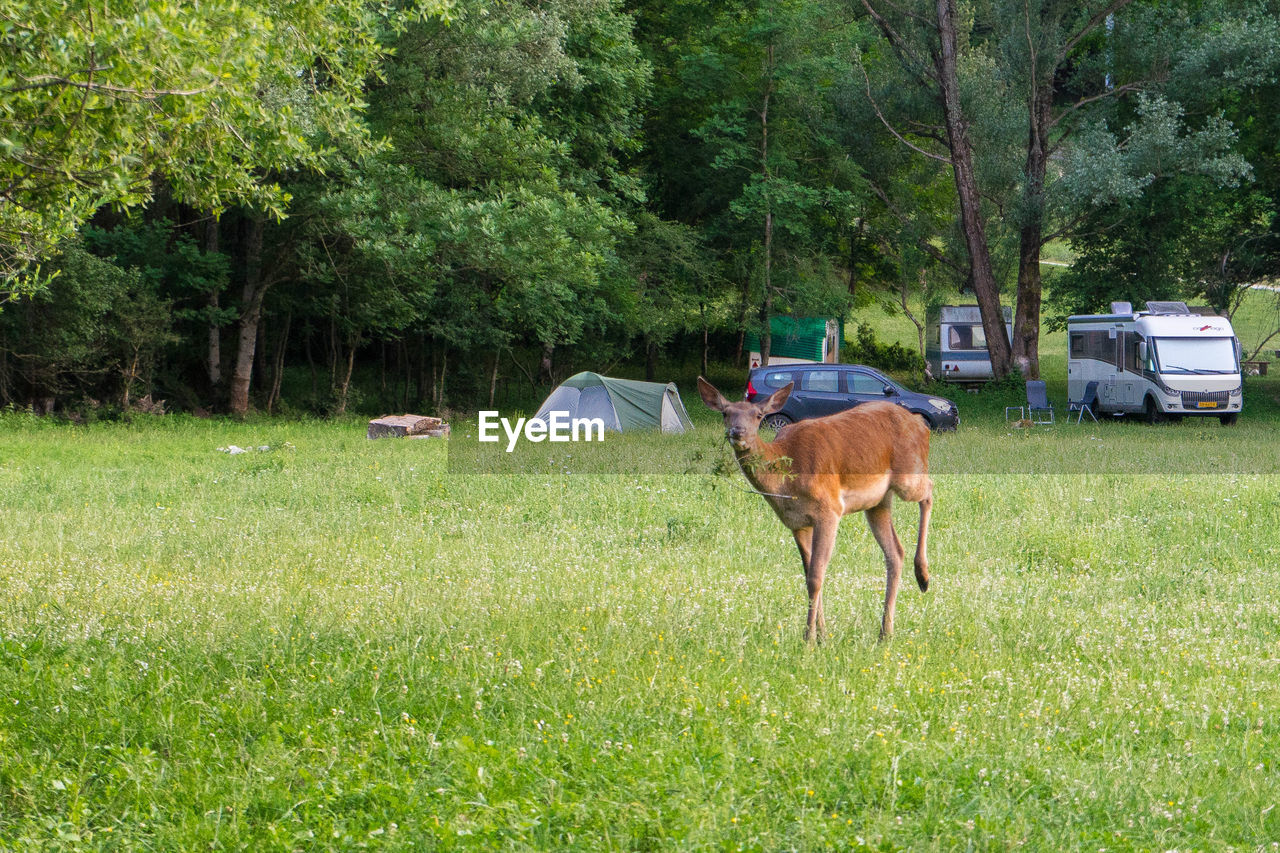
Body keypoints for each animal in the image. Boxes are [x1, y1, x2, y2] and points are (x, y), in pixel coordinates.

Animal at [696, 376, 936, 640]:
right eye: (725, 413)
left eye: (758, 415)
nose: (738, 432)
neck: (787, 480)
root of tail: (921, 425)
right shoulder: (797, 523)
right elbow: (808, 574)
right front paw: (822, 634)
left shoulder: (829, 509)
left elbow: (816, 577)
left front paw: (809, 637)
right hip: (877, 503)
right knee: (895, 553)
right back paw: (886, 632)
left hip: (909, 475)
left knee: (929, 490)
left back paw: (923, 576)